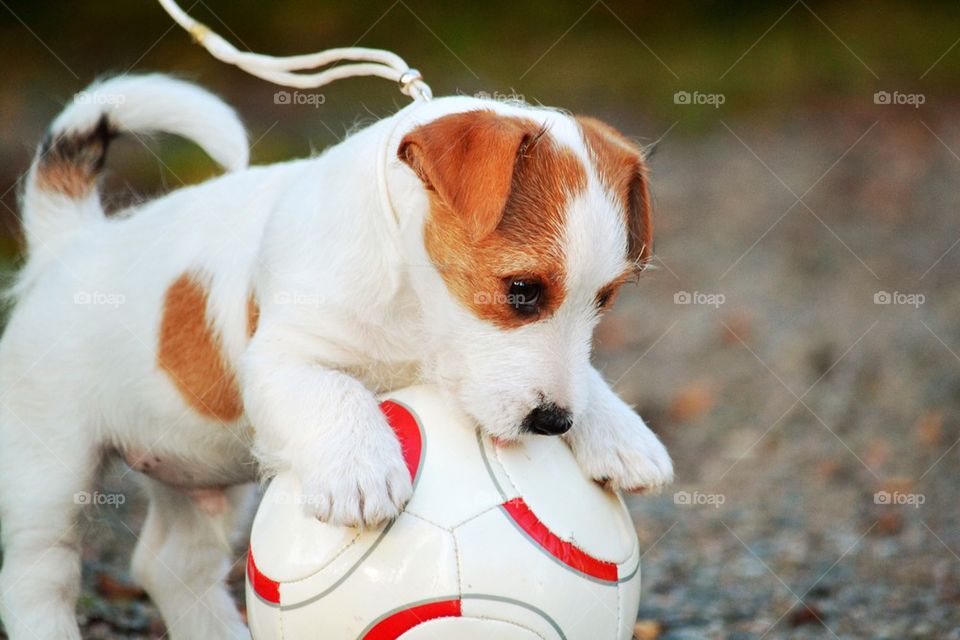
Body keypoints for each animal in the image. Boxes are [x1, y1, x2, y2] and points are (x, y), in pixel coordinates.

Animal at [0, 76, 672, 640]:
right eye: (523, 291)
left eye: (605, 301)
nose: (554, 423)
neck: (414, 309)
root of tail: (70, 243)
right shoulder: (282, 358)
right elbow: (336, 393)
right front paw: (360, 472)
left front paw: (618, 432)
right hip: (51, 467)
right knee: (38, 572)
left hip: (197, 474)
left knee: (171, 566)